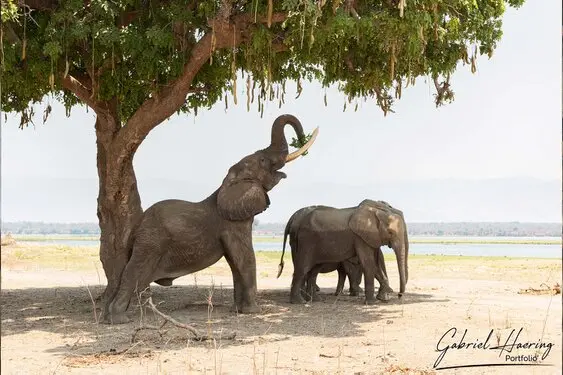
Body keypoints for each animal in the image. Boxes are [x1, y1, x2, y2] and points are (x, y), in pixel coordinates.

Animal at [101, 115, 318, 326]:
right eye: (263, 160)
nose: (302, 136)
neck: (228, 182)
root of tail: (139, 223)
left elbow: (235, 263)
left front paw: (237, 311)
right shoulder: (233, 225)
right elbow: (245, 259)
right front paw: (252, 312)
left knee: (122, 272)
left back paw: (106, 317)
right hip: (151, 242)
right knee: (132, 272)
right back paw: (119, 320)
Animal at [278, 200, 408, 306]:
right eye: (390, 232)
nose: (399, 295)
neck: (377, 211)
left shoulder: (371, 237)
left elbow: (375, 265)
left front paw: (382, 299)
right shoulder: (360, 237)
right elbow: (368, 264)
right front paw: (372, 302)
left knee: (313, 271)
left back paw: (315, 300)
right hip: (306, 242)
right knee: (303, 268)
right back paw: (299, 302)